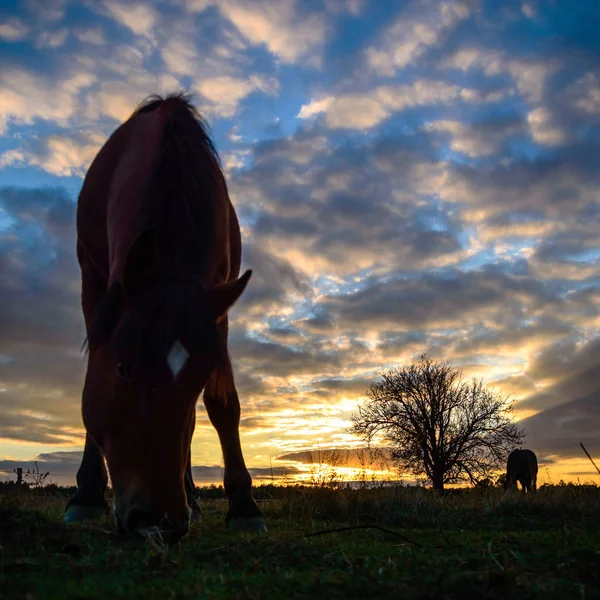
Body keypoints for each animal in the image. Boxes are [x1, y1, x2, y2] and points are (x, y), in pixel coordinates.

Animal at [63, 92, 264, 540]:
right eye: (123, 366)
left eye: (201, 375)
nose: (158, 522)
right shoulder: (95, 283)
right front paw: (86, 495)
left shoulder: (216, 302)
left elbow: (221, 404)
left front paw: (243, 504)